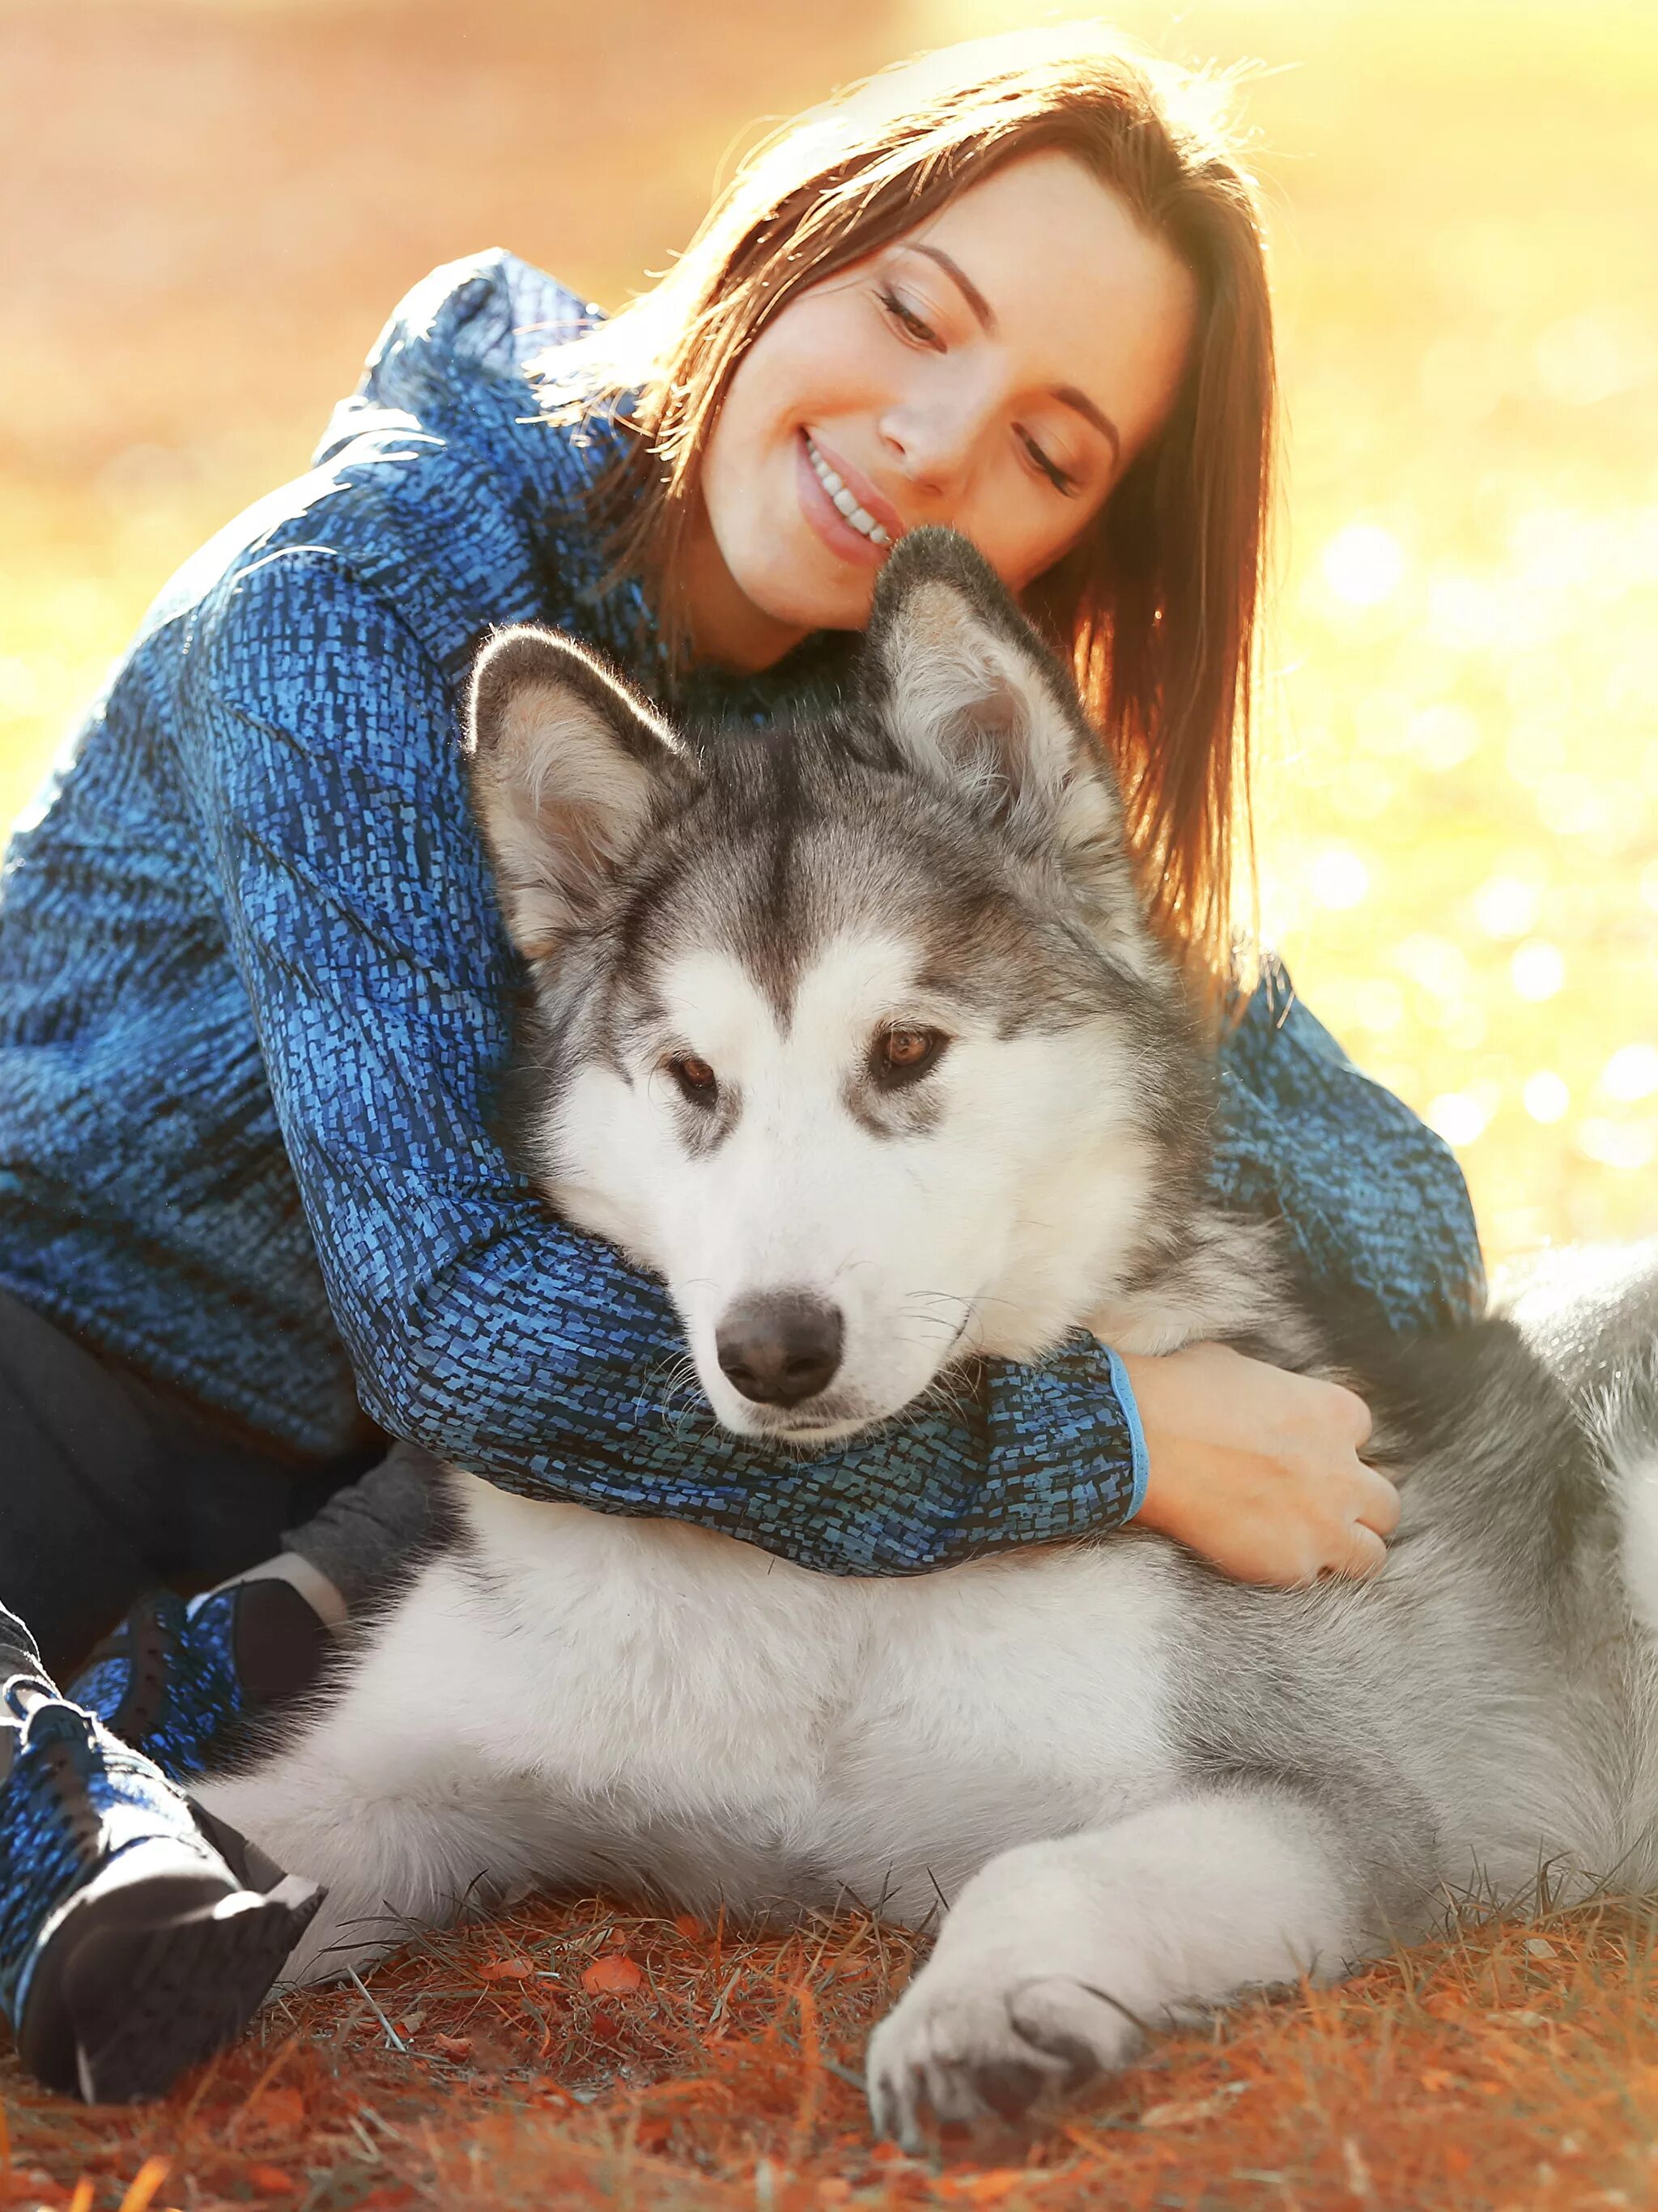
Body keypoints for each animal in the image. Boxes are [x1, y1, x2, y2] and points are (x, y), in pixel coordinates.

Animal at [198, 526, 1658, 2150]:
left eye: (903, 1049)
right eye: (691, 1077)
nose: (775, 1349)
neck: (836, 1573)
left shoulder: (1340, 1804)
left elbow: (1040, 1865)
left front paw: (979, 2012)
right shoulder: (384, 1777)